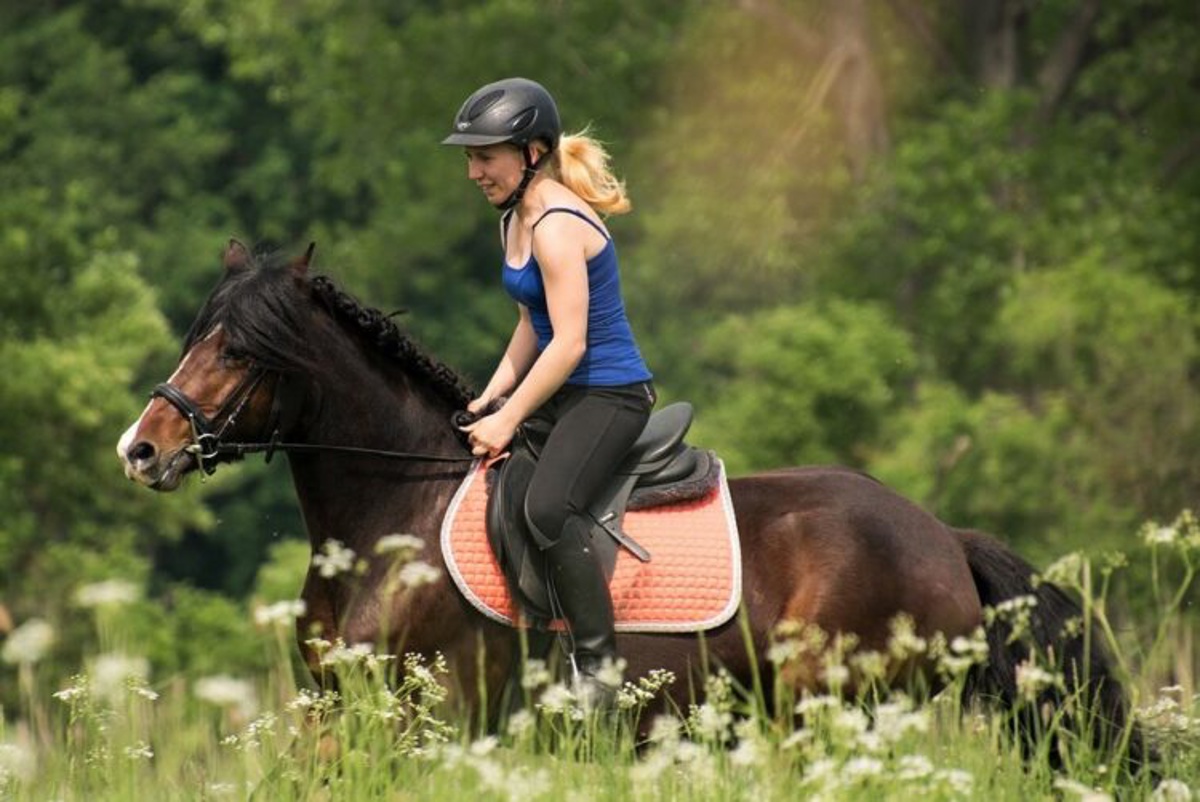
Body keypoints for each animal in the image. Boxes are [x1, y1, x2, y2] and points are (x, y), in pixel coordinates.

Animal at [117, 241, 1137, 763]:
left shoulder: (432, 719)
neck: (385, 527)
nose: (143, 450)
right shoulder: (335, 716)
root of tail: (939, 534)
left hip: (836, 710)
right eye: (198, 335)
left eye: (241, 350)